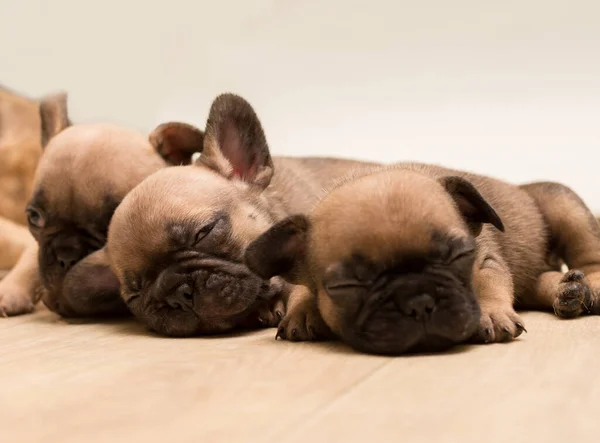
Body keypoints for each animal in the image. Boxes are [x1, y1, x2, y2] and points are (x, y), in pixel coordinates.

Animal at [243, 165, 600, 356]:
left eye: (460, 255)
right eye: (345, 286)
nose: (419, 301)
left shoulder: (485, 260)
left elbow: (488, 283)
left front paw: (491, 313)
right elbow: (302, 288)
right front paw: (303, 311)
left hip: (560, 202)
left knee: (588, 255)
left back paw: (590, 287)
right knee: (543, 281)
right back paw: (568, 291)